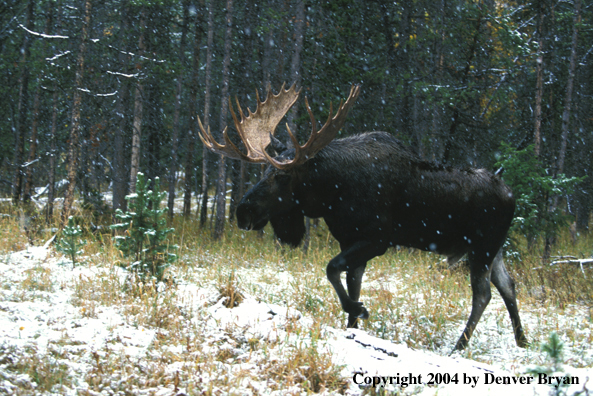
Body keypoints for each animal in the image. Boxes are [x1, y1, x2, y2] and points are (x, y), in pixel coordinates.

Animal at [198, 83, 528, 350]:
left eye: (282, 176)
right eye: (264, 170)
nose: (242, 212)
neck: (332, 194)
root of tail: (512, 194)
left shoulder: (377, 239)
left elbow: (331, 269)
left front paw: (359, 309)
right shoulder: (350, 240)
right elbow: (350, 280)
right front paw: (353, 324)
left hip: (483, 247)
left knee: (483, 294)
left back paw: (459, 346)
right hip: (492, 249)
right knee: (508, 285)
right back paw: (522, 341)